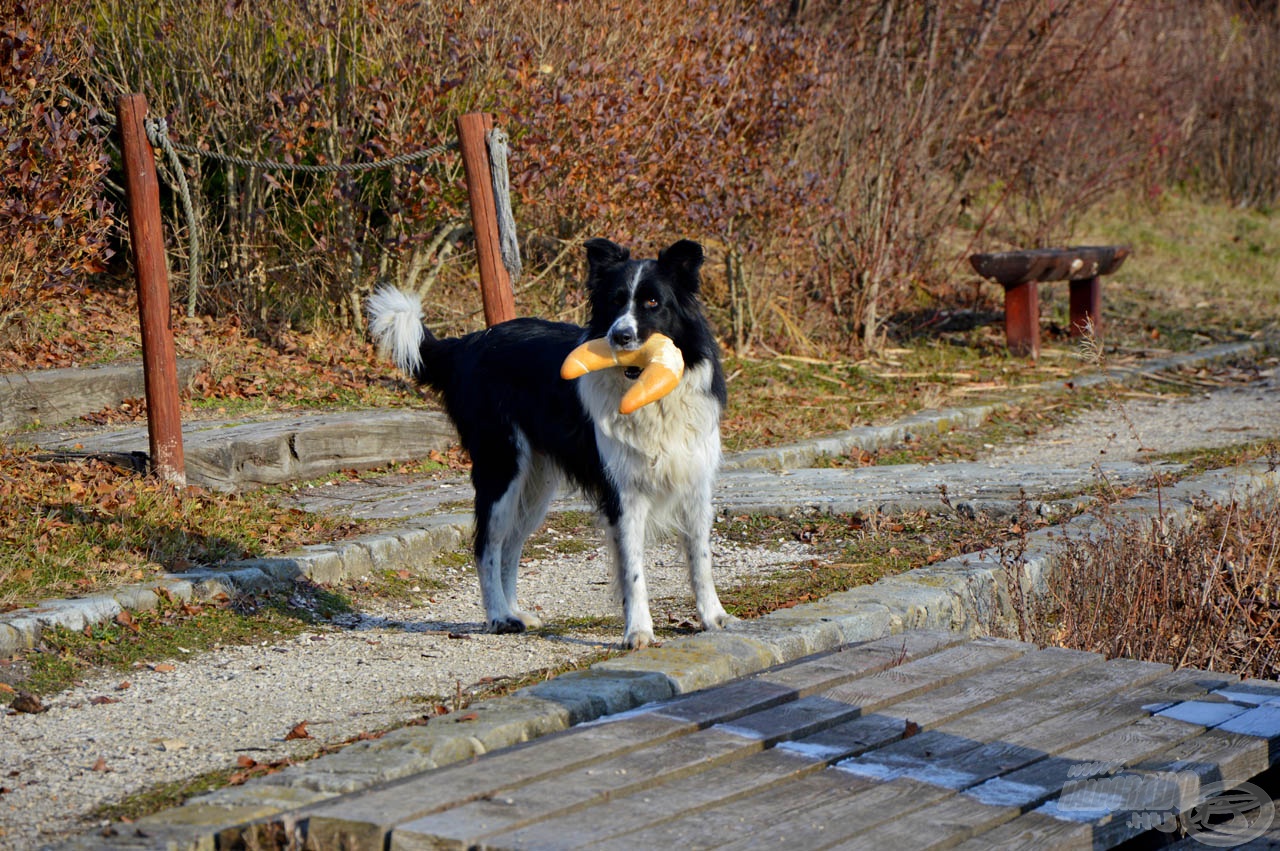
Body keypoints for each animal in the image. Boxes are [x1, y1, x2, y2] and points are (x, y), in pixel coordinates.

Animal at [368, 235, 732, 647]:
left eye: (653, 302)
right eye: (614, 302)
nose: (619, 336)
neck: (648, 394)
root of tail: (467, 343)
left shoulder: (695, 483)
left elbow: (701, 558)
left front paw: (712, 617)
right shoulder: (623, 494)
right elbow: (633, 570)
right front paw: (638, 631)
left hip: (536, 485)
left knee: (510, 547)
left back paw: (515, 612)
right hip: (502, 468)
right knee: (486, 546)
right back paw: (499, 617)